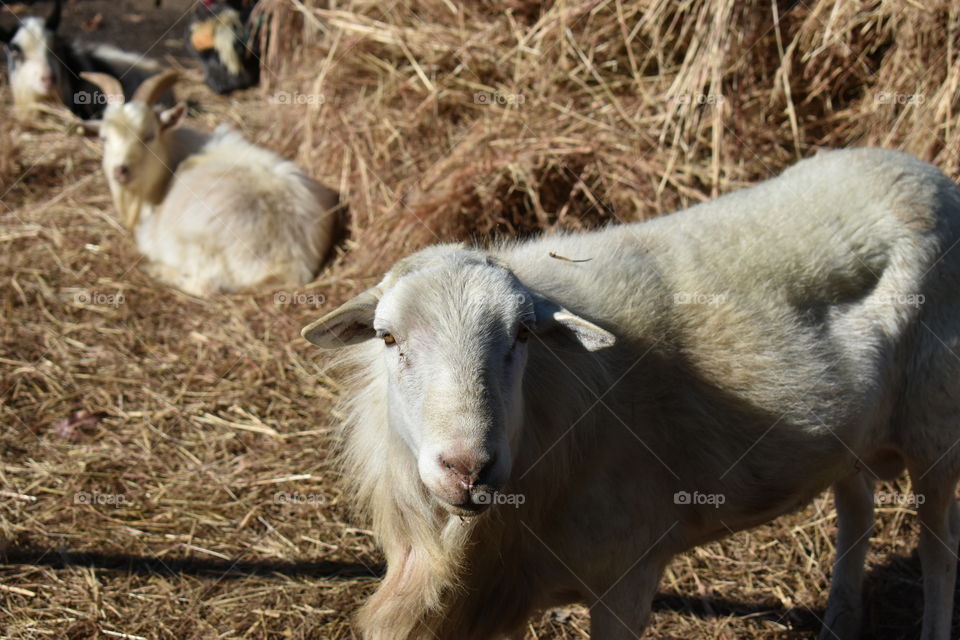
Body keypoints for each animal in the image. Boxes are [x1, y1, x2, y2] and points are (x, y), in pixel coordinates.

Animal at [80, 71, 340, 297]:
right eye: (104, 138)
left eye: (149, 135)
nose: (120, 171)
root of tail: (289, 259)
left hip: (198, 251)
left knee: (204, 286)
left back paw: (158, 270)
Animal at [302, 147, 960, 640]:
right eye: (388, 338)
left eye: (522, 334)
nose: (469, 469)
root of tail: (920, 170)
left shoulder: (627, 574)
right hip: (857, 429)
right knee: (857, 504)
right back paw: (840, 621)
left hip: (936, 425)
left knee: (939, 553)